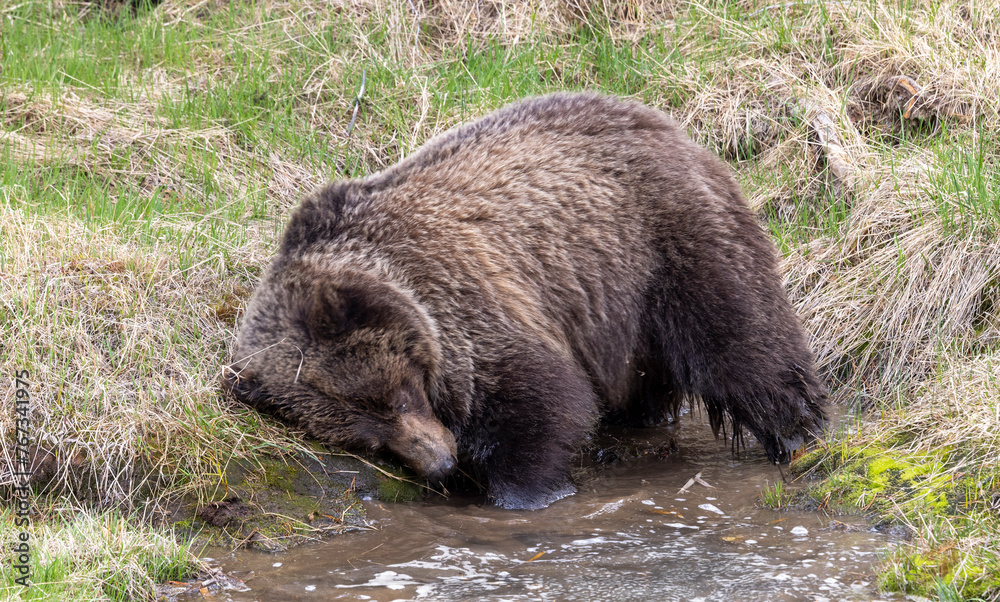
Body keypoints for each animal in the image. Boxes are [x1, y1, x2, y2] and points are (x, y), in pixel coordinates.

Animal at [223, 92, 826, 510]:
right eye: (365, 438)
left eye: (397, 396)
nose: (441, 462)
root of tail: (661, 122)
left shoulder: (467, 302)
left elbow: (540, 397)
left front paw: (524, 494)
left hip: (661, 245)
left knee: (739, 339)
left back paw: (799, 432)